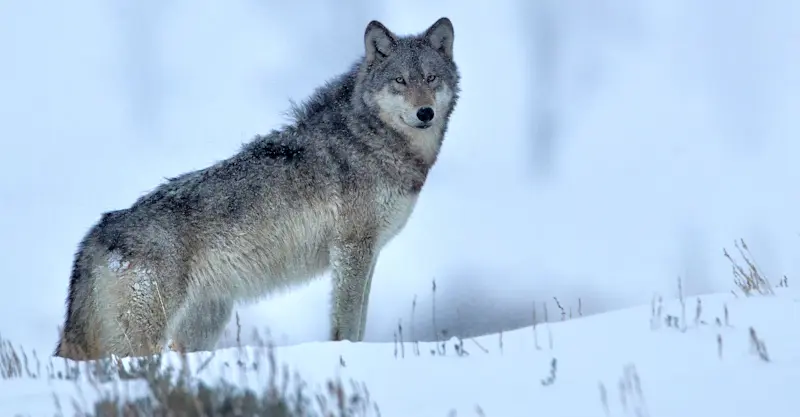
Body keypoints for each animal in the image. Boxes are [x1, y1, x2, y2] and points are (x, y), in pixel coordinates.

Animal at [54, 17, 460, 360]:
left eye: (430, 78)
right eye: (400, 81)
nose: (425, 113)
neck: (372, 140)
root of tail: (96, 233)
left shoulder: (370, 253)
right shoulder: (352, 249)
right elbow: (346, 325)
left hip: (203, 323)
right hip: (140, 339)